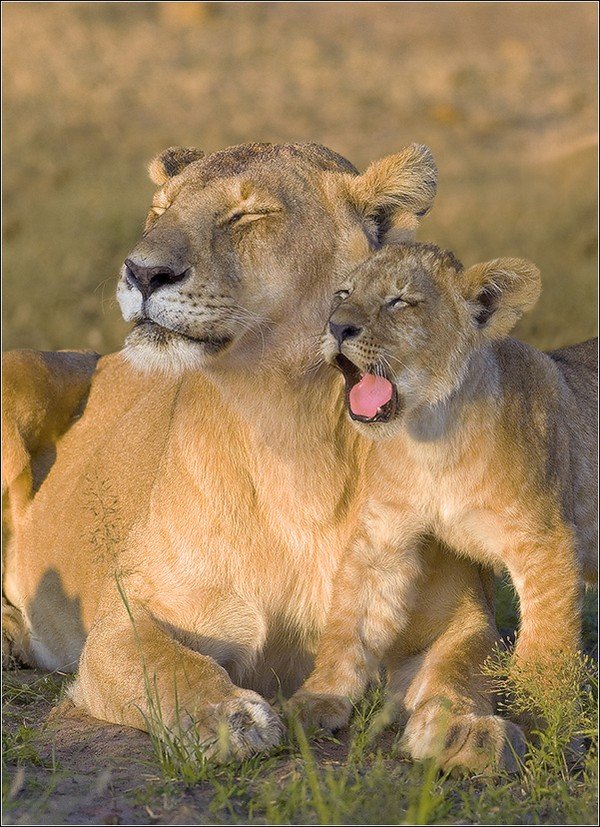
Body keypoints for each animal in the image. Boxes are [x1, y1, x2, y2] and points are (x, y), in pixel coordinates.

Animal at [3, 143, 521, 768]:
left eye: (248, 216)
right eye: (160, 209)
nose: (141, 272)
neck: (292, 429)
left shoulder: (460, 619)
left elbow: (464, 667)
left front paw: (469, 729)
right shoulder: (126, 619)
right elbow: (168, 663)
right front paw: (226, 716)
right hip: (18, 368)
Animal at [290, 242, 597, 765]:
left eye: (400, 302)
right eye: (343, 295)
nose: (337, 326)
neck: (432, 434)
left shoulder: (545, 542)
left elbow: (545, 644)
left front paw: (542, 730)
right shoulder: (384, 538)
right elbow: (351, 621)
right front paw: (317, 698)